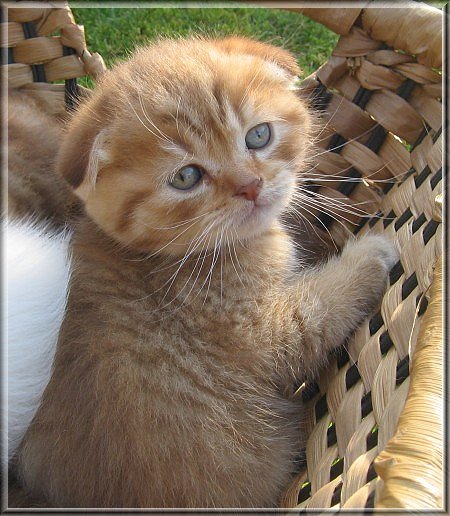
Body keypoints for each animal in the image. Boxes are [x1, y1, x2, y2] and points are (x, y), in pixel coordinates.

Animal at [14, 37, 396, 508]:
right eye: (186, 177)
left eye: (258, 135)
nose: (250, 185)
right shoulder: (260, 331)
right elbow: (319, 307)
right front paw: (373, 252)